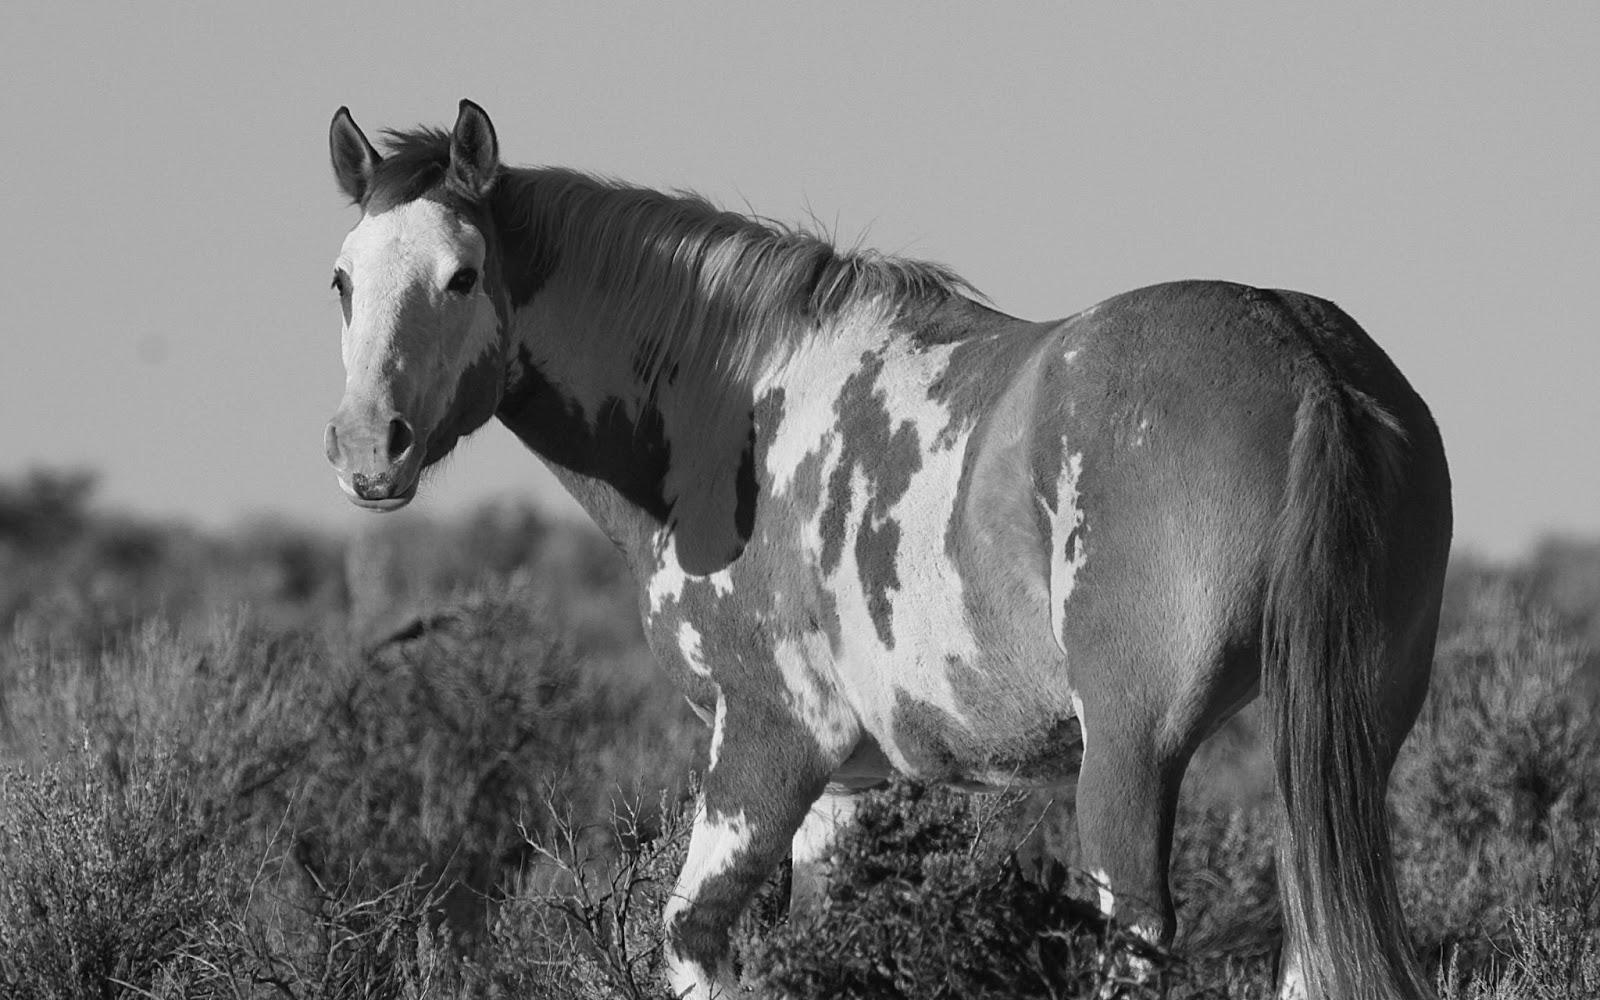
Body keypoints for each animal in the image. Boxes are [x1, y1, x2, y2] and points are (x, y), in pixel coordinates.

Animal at [322, 100, 1451, 1000]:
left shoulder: (769, 739)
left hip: (1134, 751)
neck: (733, 405)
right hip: (1335, 741)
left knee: (1134, 936)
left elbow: (691, 937)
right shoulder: (846, 786)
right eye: (341, 280)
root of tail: (1303, 358)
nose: (368, 446)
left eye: (463, 275)